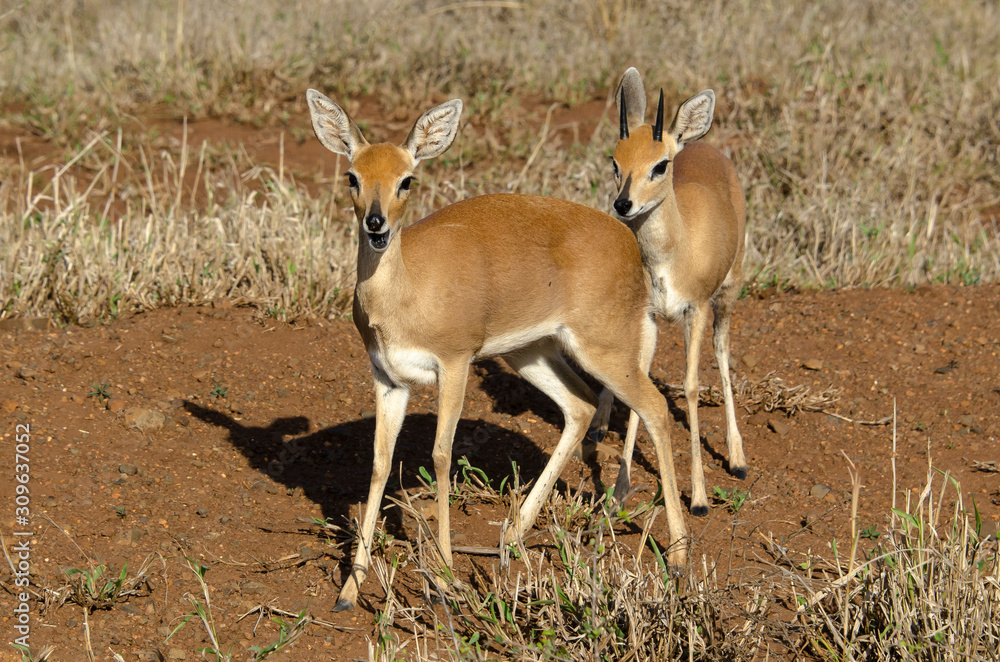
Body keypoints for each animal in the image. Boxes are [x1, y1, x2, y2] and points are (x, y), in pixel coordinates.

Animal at [304, 91, 692, 616]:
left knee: (654, 408)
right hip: (531, 353)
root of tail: (628, 241)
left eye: (407, 179)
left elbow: (441, 455)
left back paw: (678, 557)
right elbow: (381, 462)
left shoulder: (453, 366)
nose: (376, 225)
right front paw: (349, 589)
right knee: (580, 405)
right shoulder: (388, 379)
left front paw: (445, 578)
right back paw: (512, 537)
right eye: (353, 176)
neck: (405, 292)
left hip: (604, 351)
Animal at [588, 68, 748, 520]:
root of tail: (703, 145)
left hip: (728, 295)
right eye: (615, 161)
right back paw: (599, 423)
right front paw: (618, 492)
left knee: (723, 353)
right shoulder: (651, 316)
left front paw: (698, 498)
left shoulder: (697, 310)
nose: (623, 205)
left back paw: (737, 458)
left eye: (660, 165)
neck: (674, 252)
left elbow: (692, 387)